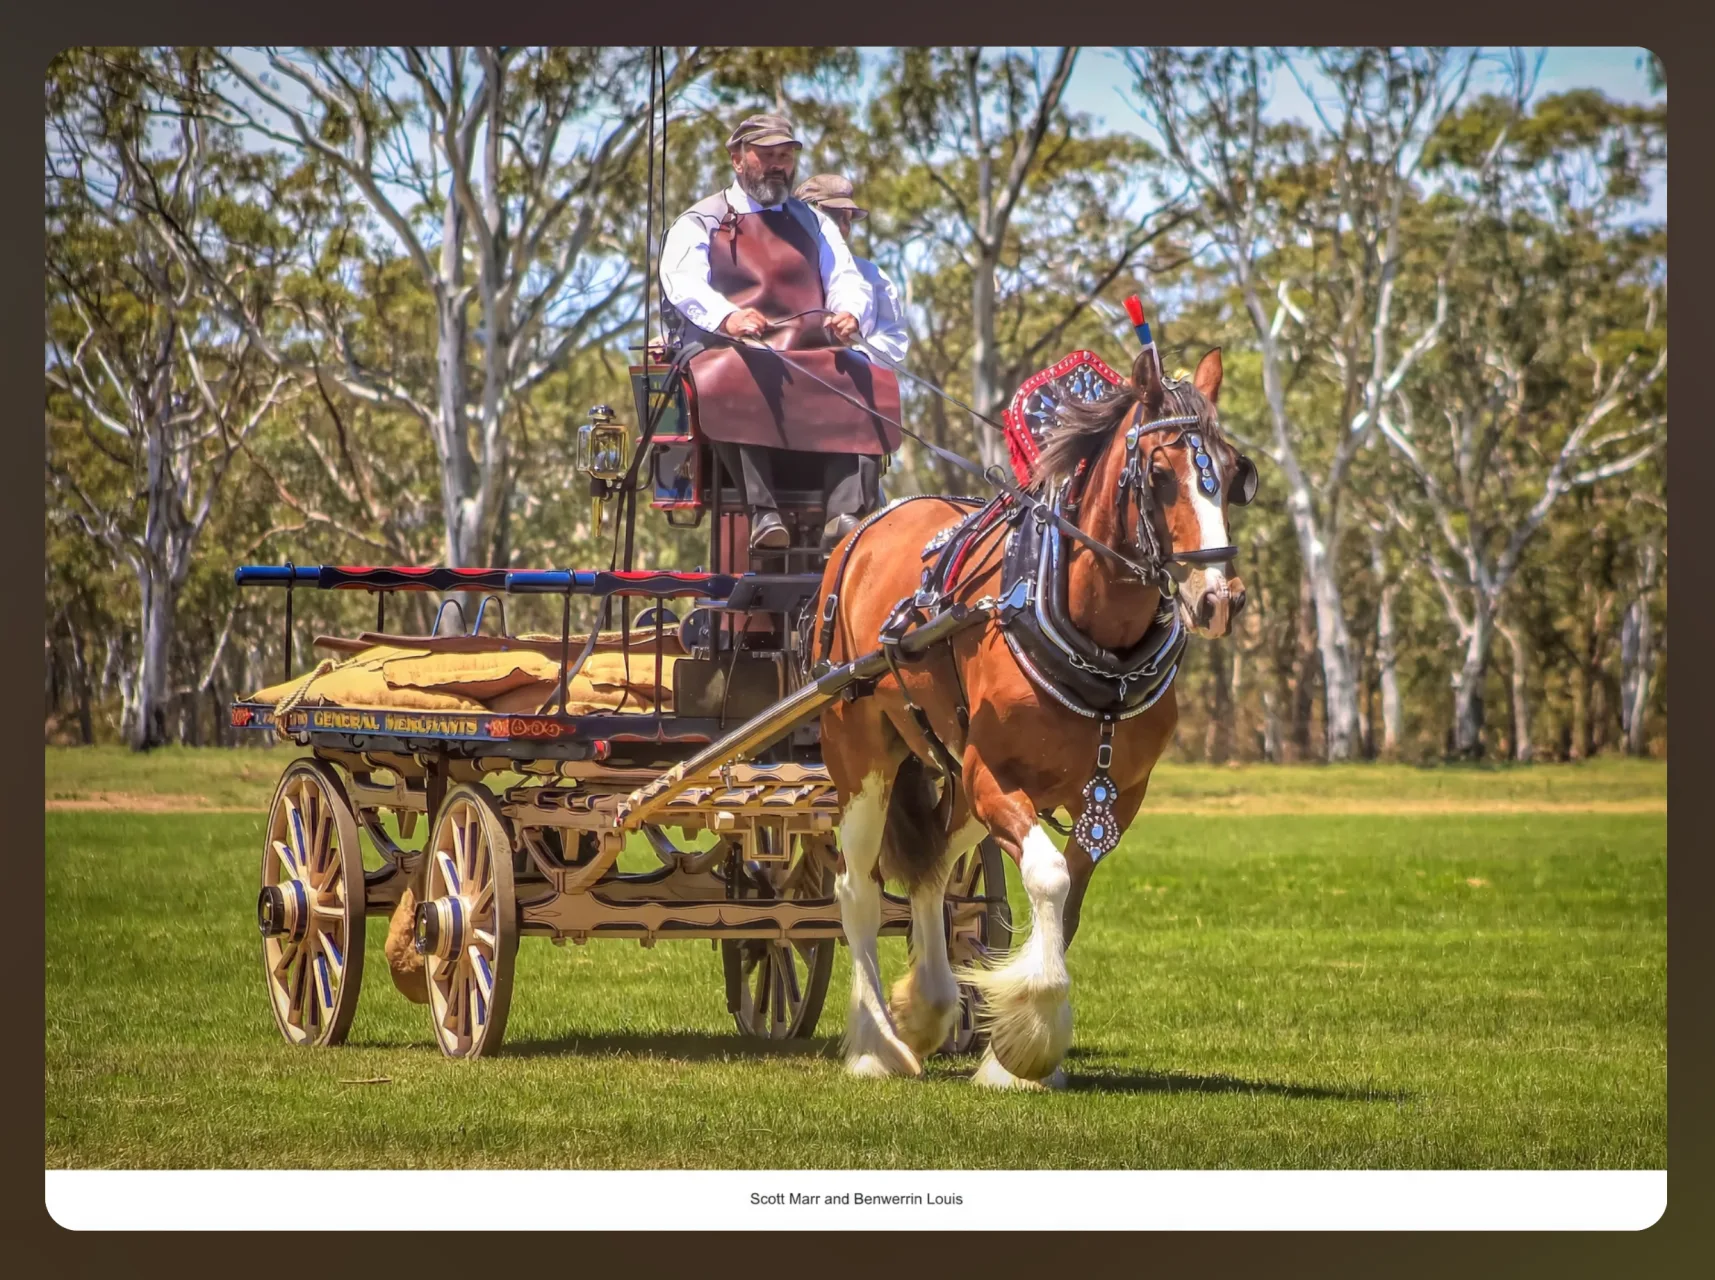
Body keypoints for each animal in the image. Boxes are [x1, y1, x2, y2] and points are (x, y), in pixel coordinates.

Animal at [816, 342, 1250, 1088]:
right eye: (1159, 475)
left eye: (1229, 473)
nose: (1217, 598)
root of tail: (861, 529)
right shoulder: (994, 776)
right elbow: (1047, 878)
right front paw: (1031, 1041)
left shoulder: (1116, 796)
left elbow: (1068, 900)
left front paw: (1010, 1052)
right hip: (860, 754)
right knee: (859, 891)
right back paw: (877, 1044)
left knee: (933, 864)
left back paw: (926, 1008)